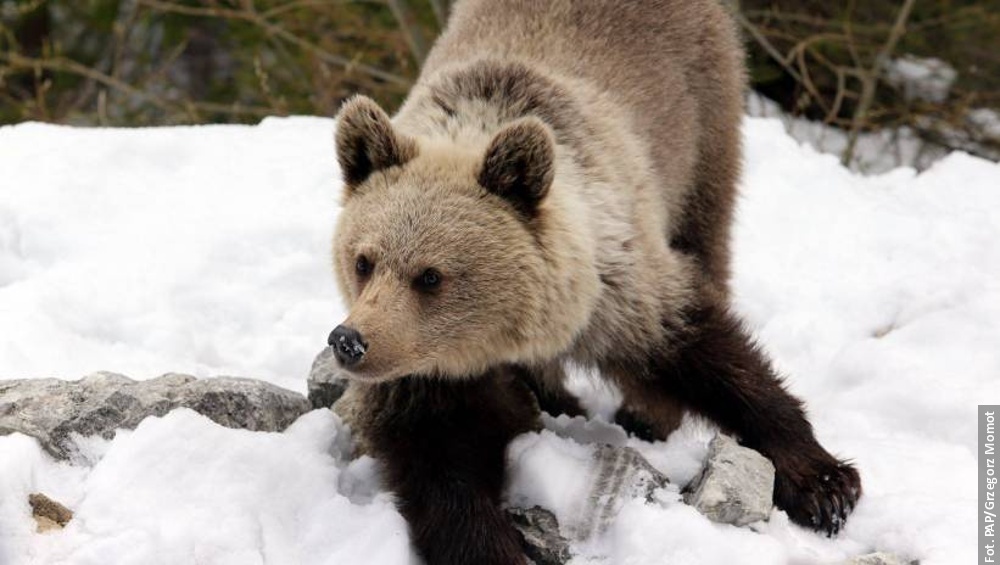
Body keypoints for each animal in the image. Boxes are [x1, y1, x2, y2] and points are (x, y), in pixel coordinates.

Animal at [326, 2, 860, 560]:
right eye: (363, 261)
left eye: (430, 276)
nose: (350, 340)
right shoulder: (427, 372)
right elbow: (440, 459)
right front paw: (491, 542)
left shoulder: (618, 285)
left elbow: (707, 351)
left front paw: (824, 485)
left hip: (703, 125)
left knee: (706, 239)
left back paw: (644, 415)